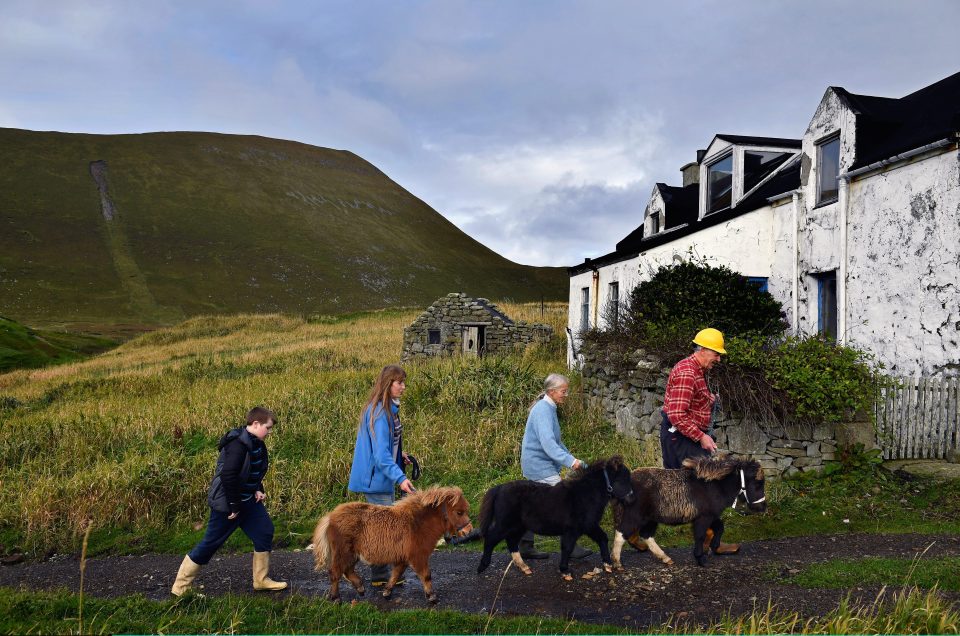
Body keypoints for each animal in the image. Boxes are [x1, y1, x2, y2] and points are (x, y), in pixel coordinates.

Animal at [314, 486, 470, 600]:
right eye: (459, 512)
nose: (468, 531)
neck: (418, 524)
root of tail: (330, 517)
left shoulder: (403, 559)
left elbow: (395, 575)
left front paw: (387, 591)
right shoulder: (418, 556)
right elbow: (426, 575)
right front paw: (431, 596)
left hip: (352, 554)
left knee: (347, 570)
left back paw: (360, 588)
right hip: (343, 552)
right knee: (335, 572)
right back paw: (335, 597)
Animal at [474, 454, 636, 580]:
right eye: (622, 479)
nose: (631, 499)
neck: (585, 495)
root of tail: (499, 488)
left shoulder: (589, 525)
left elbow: (602, 538)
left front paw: (608, 565)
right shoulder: (573, 529)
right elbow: (567, 547)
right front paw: (565, 571)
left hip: (518, 526)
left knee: (511, 542)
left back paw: (524, 567)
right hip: (505, 524)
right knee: (491, 538)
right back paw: (482, 566)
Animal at [616, 454, 764, 568]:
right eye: (758, 484)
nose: (763, 507)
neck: (716, 486)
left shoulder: (710, 515)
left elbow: (719, 528)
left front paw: (714, 546)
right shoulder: (703, 518)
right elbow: (700, 535)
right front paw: (701, 558)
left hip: (650, 519)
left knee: (645, 535)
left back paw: (665, 558)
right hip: (634, 515)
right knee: (621, 533)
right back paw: (616, 564)